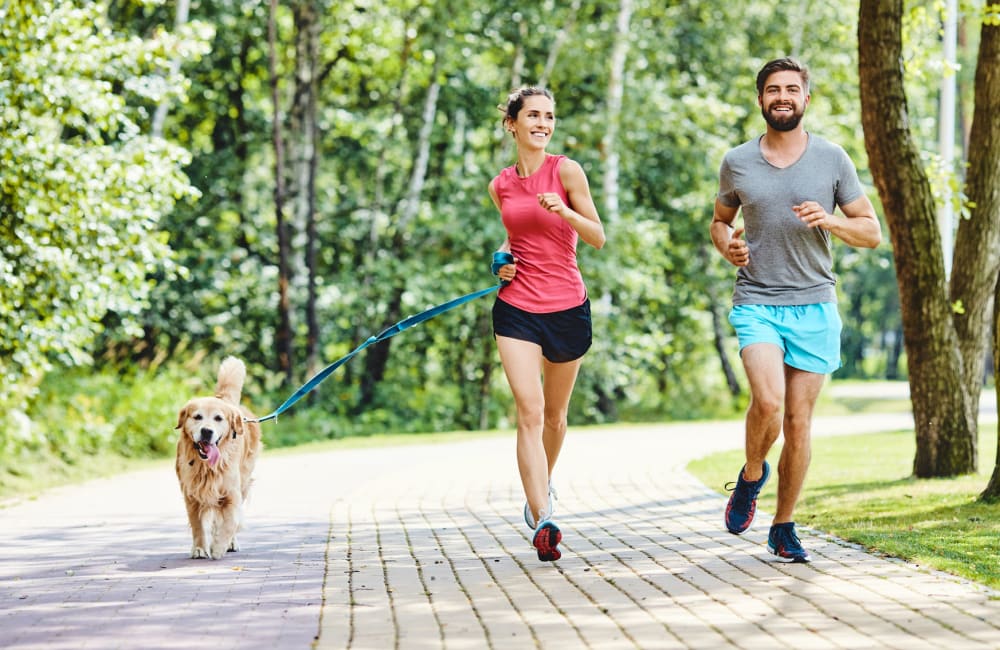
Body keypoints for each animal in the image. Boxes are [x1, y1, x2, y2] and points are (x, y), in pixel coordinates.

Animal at [176, 354, 262, 556]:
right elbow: (197, 524)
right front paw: (200, 548)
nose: (207, 431)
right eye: (197, 417)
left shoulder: (232, 493)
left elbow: (230, 522)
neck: (207, 466)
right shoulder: (191, 494)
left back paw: (230, 542)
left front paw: (219, 546)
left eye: (218, 418)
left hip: (244, 483)